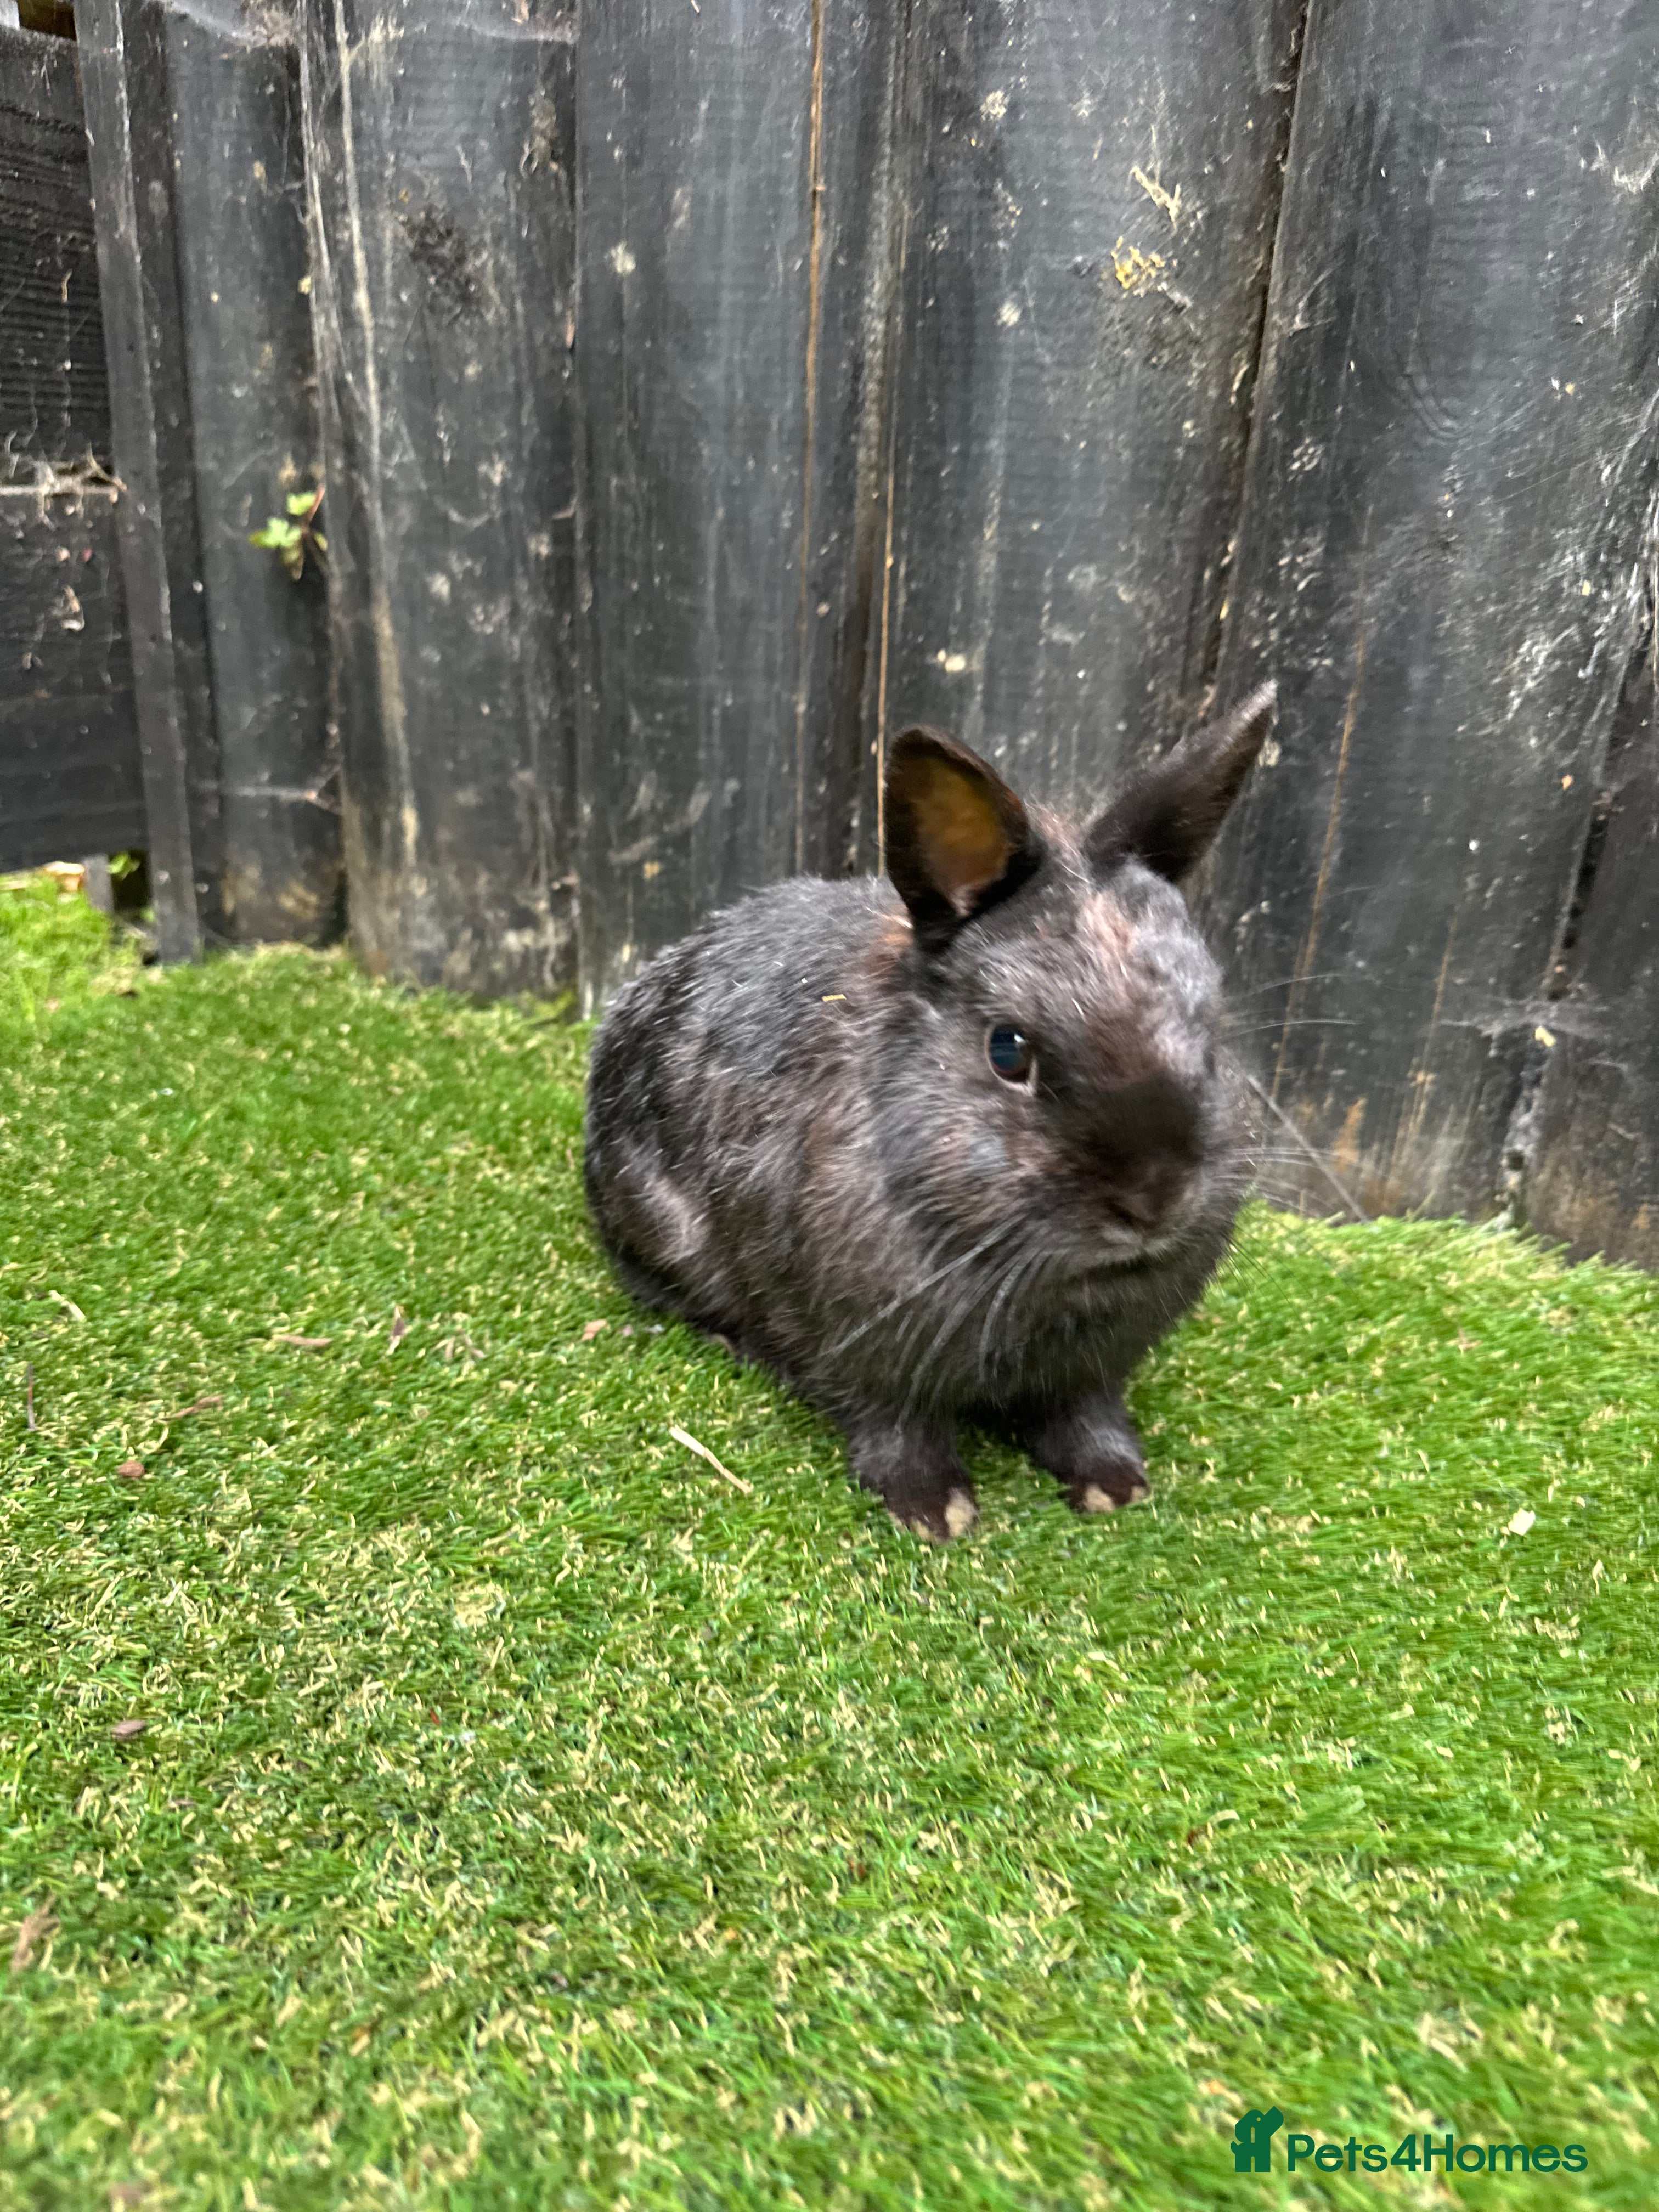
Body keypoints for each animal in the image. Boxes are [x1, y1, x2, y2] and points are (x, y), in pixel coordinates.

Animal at [583, 682, 1275, 1541]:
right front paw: (935, 1512)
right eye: (1008, 1051)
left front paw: (1114, 1487)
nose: (1156, 1201)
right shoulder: (863, 1352)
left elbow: (1083, 1415)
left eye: (1210, 1022)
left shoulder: (1089, 1372)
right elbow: (894, 1425)